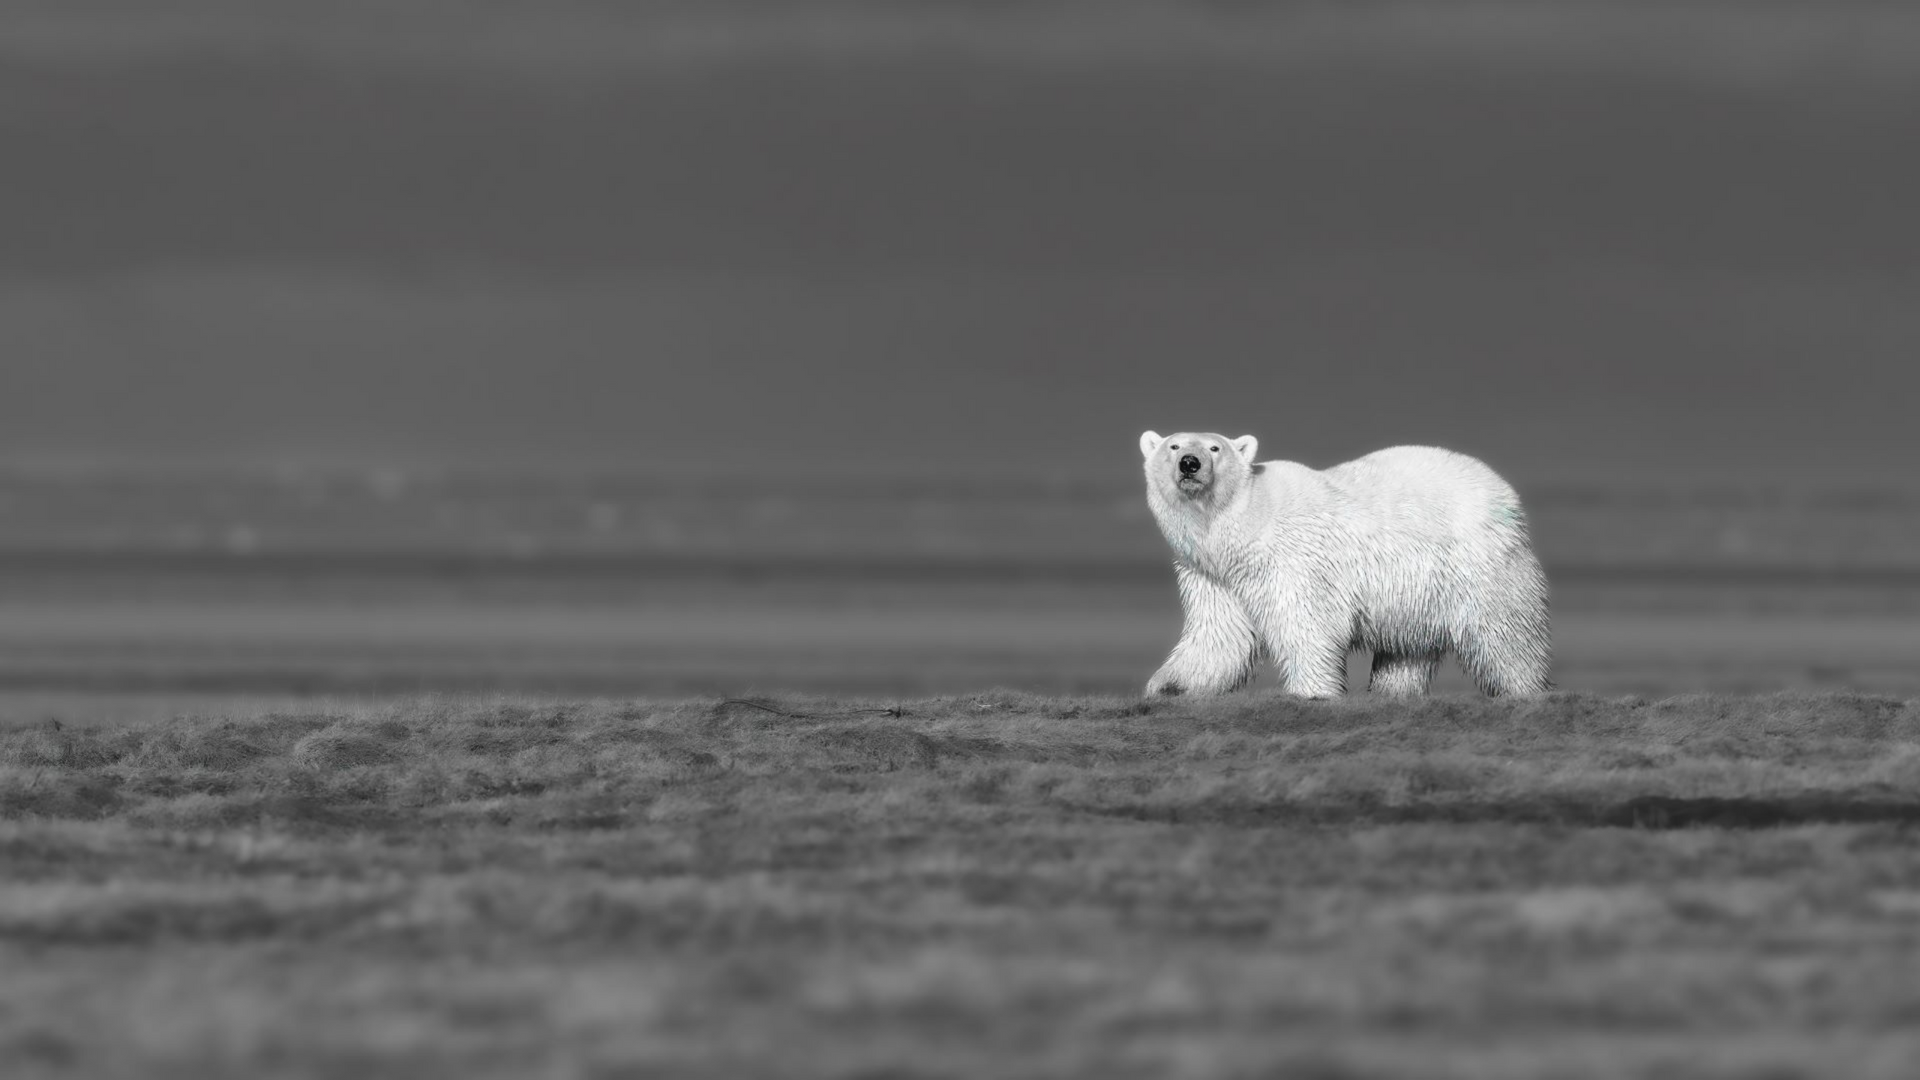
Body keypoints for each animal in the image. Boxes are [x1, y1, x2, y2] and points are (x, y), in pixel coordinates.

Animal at [1139, 431, 1551, 698]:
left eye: (1215, 447)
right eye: (1173, 445)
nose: (1189, 463)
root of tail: (1502, 489)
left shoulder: (1293, 558)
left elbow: (1305, 622)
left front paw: (1311, 693)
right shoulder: (1212, 573)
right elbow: (1219, 633)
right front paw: (1168, 687)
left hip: (1476, 561)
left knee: (1504, 631)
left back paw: (1525, 690)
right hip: (1416, 589)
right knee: (1408, 645)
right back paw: (1391, 692)